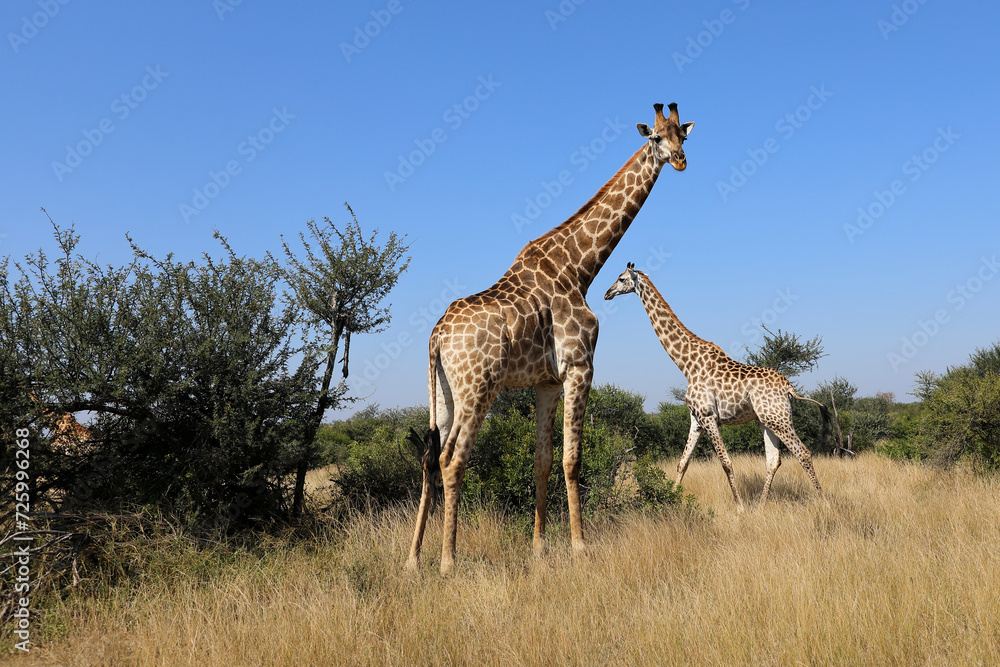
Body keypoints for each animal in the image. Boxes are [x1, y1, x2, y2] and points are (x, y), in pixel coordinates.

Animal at [408, 103, 695, 574]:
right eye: (655, 137)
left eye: (682, 136)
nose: (680, 160)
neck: (578, 267)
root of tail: (436, 336)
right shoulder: (580, 366)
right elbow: (571, 459)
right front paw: (580, 546)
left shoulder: (546, 381)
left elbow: (541, 461)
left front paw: (539, 548)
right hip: (477, 387)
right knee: (452, 459)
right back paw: (448, 561)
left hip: (444, 393)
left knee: (430, 456)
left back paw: (413, 559)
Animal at [603, 263, 827, 510]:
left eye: (621, 278)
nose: (607, 293)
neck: (686, 364)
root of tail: (789, 388)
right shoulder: (696, 419)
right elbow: (683, 462)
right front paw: (669, 501)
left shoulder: (709, 416)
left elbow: (726, 462)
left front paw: (740, 507)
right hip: (767, 419)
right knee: (773, 460)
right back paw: (761, 505)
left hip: (778, 418)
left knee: (803, 453)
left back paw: (824, 502)